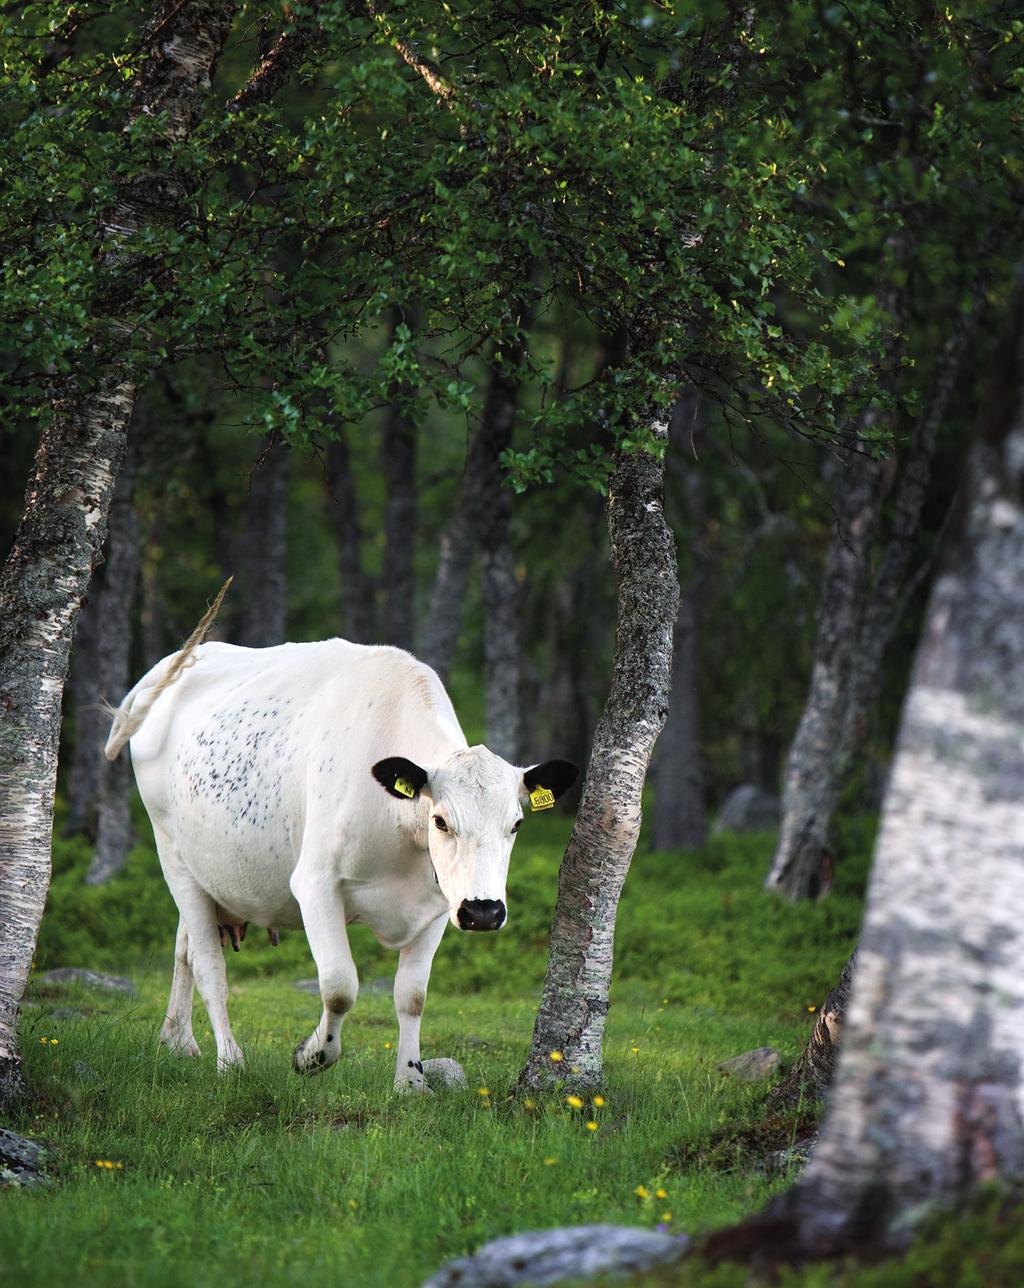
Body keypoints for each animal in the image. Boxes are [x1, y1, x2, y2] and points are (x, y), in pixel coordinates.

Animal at [110, 628, 584, 1092]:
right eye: (441, 820)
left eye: (516, 824)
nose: (484, 912)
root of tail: (170, 667)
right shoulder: (315, 885)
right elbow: (339, 985)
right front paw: (312, 1055)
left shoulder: (440, 903)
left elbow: (412, 995)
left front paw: (410, 1081)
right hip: (172, 854)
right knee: (209, 965)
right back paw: (230, 1060)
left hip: (205, 872)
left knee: (185, 949)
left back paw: (177, 1040)